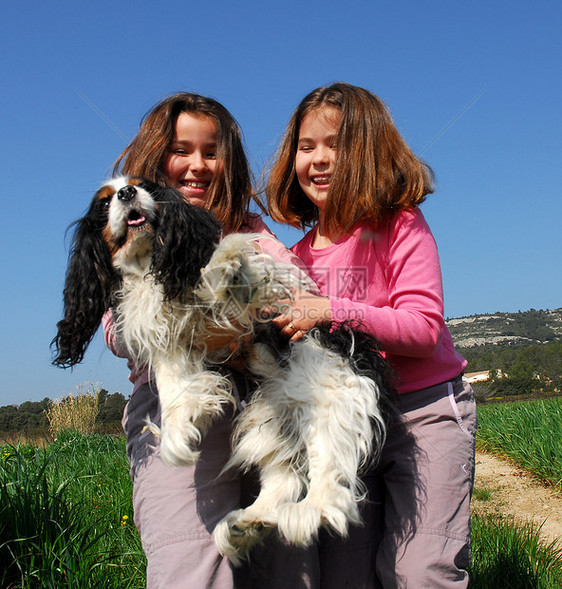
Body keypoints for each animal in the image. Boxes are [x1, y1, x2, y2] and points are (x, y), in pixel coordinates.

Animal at [52, 177, 394, 564]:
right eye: (104, 204)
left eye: (143, 188)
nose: (126, 194)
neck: (151, 264)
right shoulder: (168, 340)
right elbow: (171, 387)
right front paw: (177, 435)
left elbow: (228, 273)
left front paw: (226, 263)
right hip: (270, 418)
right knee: (285, 479)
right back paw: (246, 523)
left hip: (332, 398)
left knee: (330, 474)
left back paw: (308, 511)